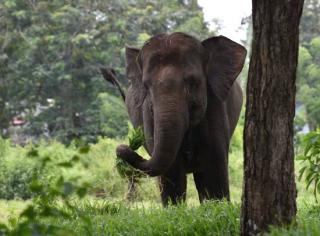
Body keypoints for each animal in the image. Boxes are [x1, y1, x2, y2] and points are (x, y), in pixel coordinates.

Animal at [101, 32, 246, 206]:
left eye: (193, 82)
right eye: (146, 86)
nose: (124, 147)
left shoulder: (215, 103)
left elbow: (213, 163)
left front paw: (216, 206)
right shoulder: (148, 114)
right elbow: (172, 169)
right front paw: (174, 207)